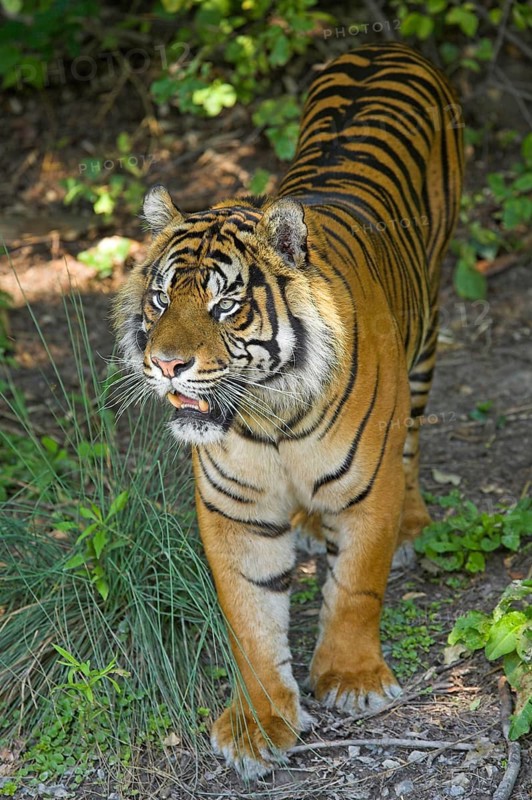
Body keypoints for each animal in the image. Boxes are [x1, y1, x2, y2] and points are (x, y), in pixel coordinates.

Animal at [113, 42, 464, 778]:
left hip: (427, 331)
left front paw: (352, 681)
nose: (166, 364)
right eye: (160, 299)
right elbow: (249, 617)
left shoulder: (368, 491)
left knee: (416, 437)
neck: (270, 420)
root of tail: (385, 45)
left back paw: (415, 524)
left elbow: (356, 585)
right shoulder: (235, 510)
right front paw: (259, 723)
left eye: (224, 304)